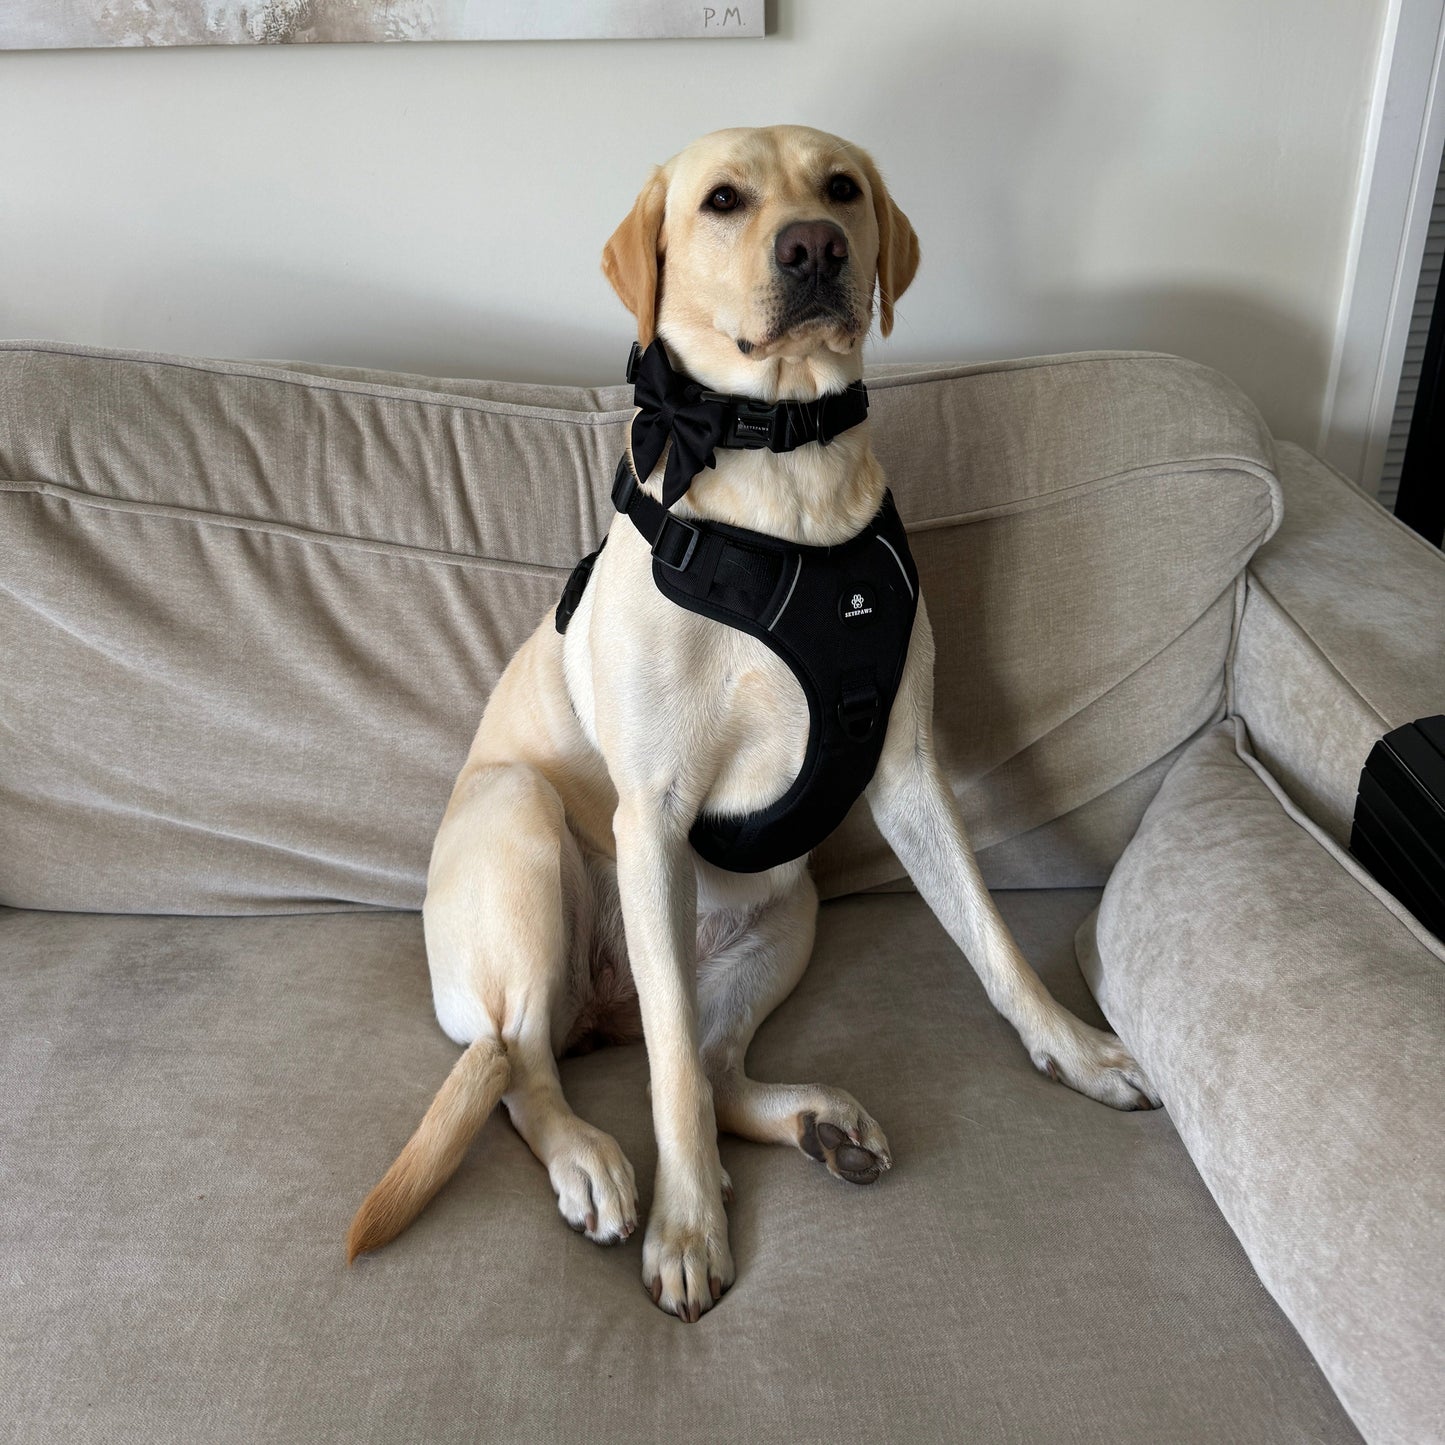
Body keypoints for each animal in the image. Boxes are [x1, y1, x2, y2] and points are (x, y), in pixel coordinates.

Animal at [343, 124, 1156, 1323]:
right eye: (721, 200)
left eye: (841, 188)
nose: (814, 246)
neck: (787, 471)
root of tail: (601, 1006)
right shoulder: (653, 815)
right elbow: (669, 1077)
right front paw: (689, 1228)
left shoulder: (909, 773)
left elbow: (991, 940)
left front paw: (1075, 1050)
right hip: (527, 833)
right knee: (529, 1064)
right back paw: (590, 1155)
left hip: (783, 919)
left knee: (711, 1068)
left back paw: (815, 1121)